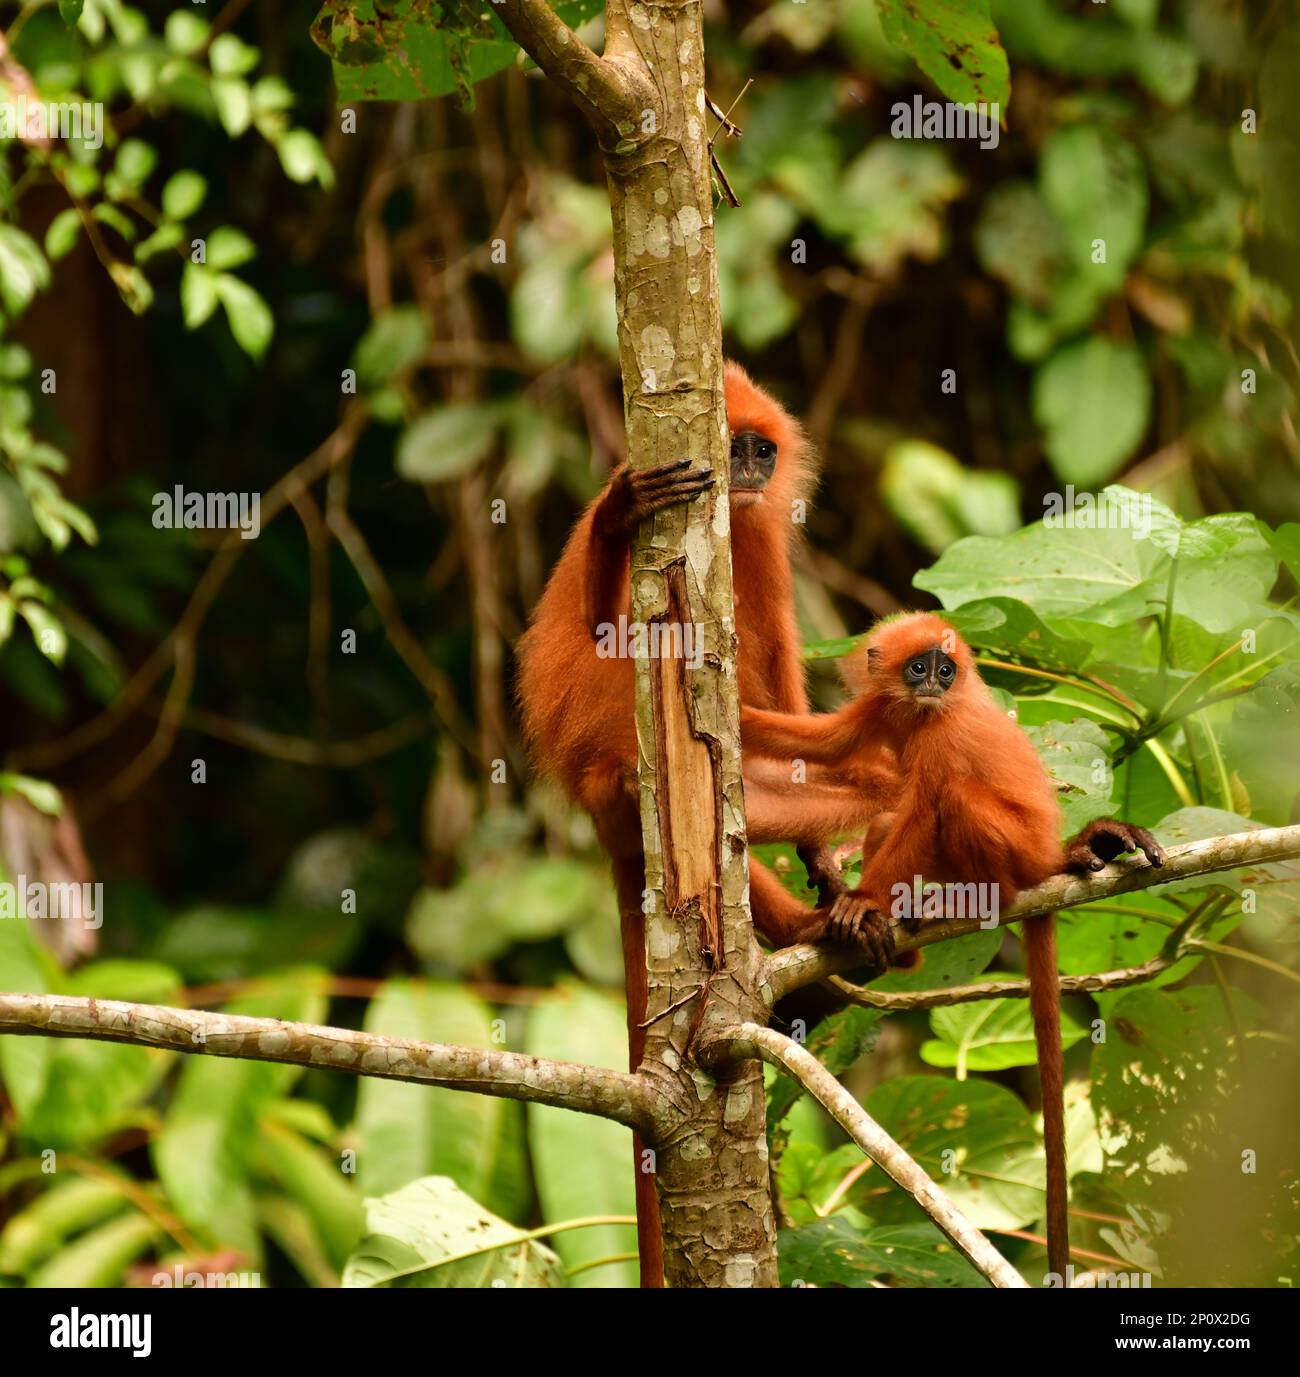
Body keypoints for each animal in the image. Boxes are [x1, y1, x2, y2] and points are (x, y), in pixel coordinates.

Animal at [739, 612, 1164, 1280]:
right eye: (920, 667)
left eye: (946, 669)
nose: (934, 686)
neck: (919, 716)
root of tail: (1046, 860)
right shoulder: (878, 706)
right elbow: (824, 746)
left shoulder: (942, 732)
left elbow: (923, 805)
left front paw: (861, 901)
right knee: (889, 823)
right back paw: (905, 933)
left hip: (1012, 852)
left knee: (950, 800)